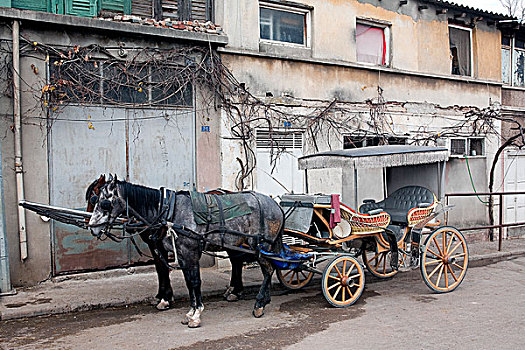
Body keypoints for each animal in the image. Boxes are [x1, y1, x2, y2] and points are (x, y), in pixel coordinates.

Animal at [87, 176, 282, 326]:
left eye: (103, 202)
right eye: (94, 199)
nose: (92, 227)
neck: (168, 211)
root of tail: (275, 204)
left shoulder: (189, 252)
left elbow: (194, 281)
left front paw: (195, 314)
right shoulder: (179, 254)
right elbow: (186, 280)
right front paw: (188, 311)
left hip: (261, 246)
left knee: (267, 269)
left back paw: (259, 303)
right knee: (261, 267)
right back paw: (257, 298)